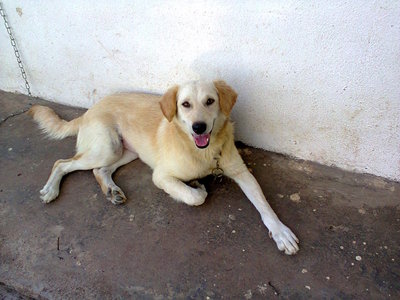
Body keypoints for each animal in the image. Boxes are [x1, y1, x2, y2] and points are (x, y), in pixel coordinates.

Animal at [28, 79, 296, 253]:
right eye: (185, 104)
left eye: (210, 101)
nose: (199, 127)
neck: (203, 153)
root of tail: (89, 110)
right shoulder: (161, 176)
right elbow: (194, 197)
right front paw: (197, 186)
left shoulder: (241, 172)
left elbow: (265, 206)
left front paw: (281, 232)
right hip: (107, 148)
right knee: (62, 163)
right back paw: (51, 190)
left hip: (126, 152)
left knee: (100, 170)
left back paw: (112, 191)